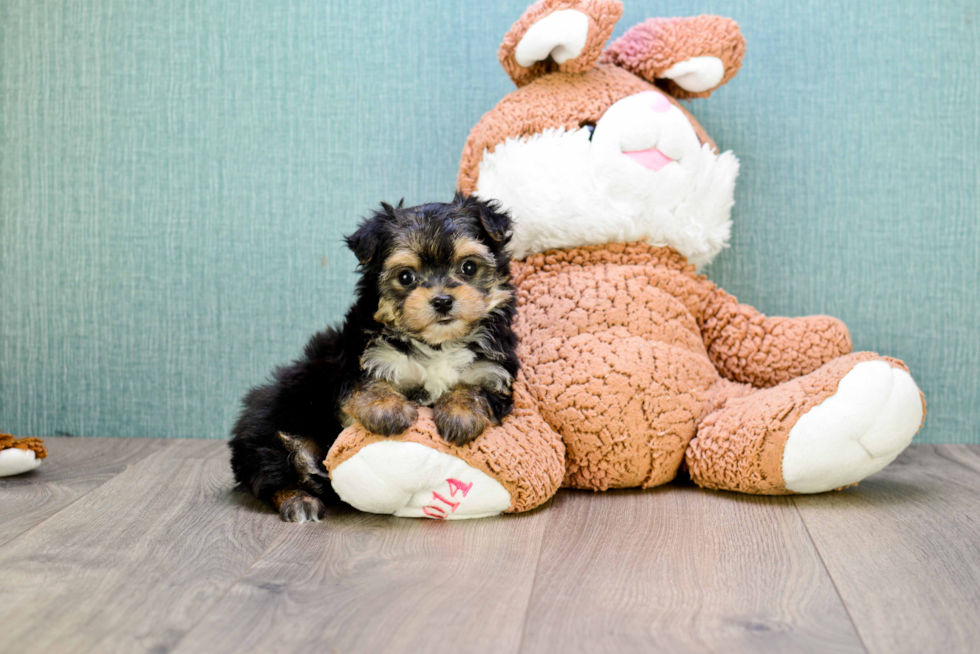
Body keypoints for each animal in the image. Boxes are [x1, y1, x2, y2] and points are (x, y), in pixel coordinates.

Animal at [230, 195, 520, 524]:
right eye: (406, 277)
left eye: (468, 267)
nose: (443, 300)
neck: (437, 344)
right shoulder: (359, 360)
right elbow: (365, 385)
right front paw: (388, 409)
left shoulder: (494, 371)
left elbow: (476, 389)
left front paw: (460, 414)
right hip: (276, 430)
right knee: (274, 473)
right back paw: (299, 501)